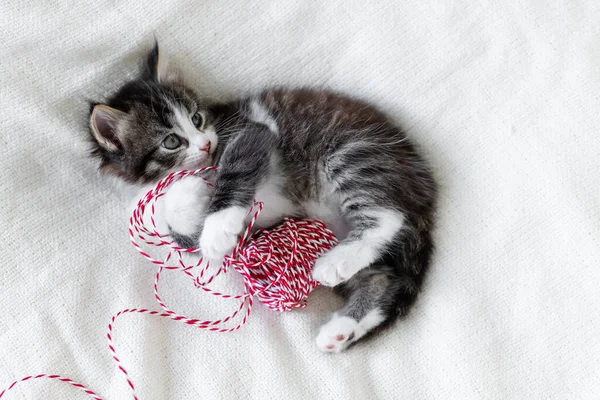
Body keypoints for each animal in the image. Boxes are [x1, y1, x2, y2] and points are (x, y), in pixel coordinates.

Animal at [89, 44, 436, 354]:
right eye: (171, 141)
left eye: (197, 119)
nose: (205, 144)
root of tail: (421, 179)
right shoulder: (172, 231)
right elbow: (184, 226)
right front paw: (191, 193)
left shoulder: (251, 132)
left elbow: (232, 172)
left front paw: (216, 228)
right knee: (383, 279)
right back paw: (341, 329)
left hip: (353, 153)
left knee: (387, 216)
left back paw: (334, 264)